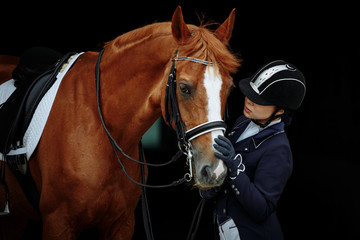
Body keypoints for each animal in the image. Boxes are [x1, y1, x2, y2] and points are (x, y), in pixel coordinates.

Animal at [1, 6, 240, 239]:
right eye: (184, 88)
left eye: (229, 88)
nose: (216, 170)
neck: (105, 130)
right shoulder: (58, 222)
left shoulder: (121, 224)